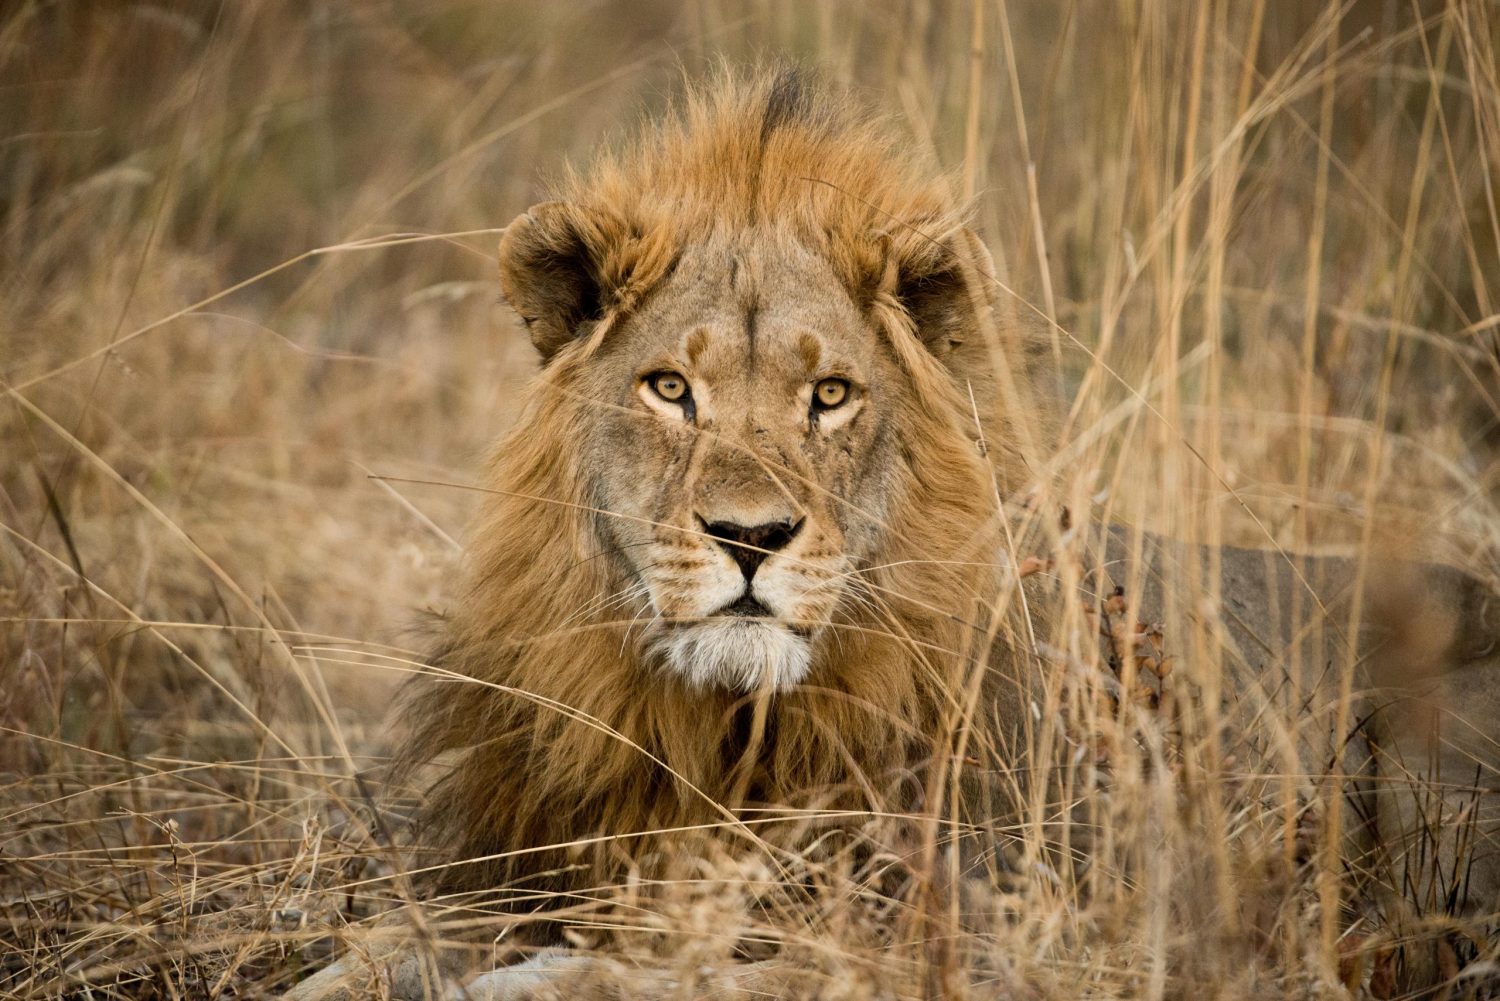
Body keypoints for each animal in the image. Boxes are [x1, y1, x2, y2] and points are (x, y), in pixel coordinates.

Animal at [288, 69, 1499, 999]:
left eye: (830, 395)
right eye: (671, 388)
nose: (751, 538)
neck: (715, 730)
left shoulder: (948, 926)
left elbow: (643, 967)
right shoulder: (515, 865)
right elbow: (375, 949)